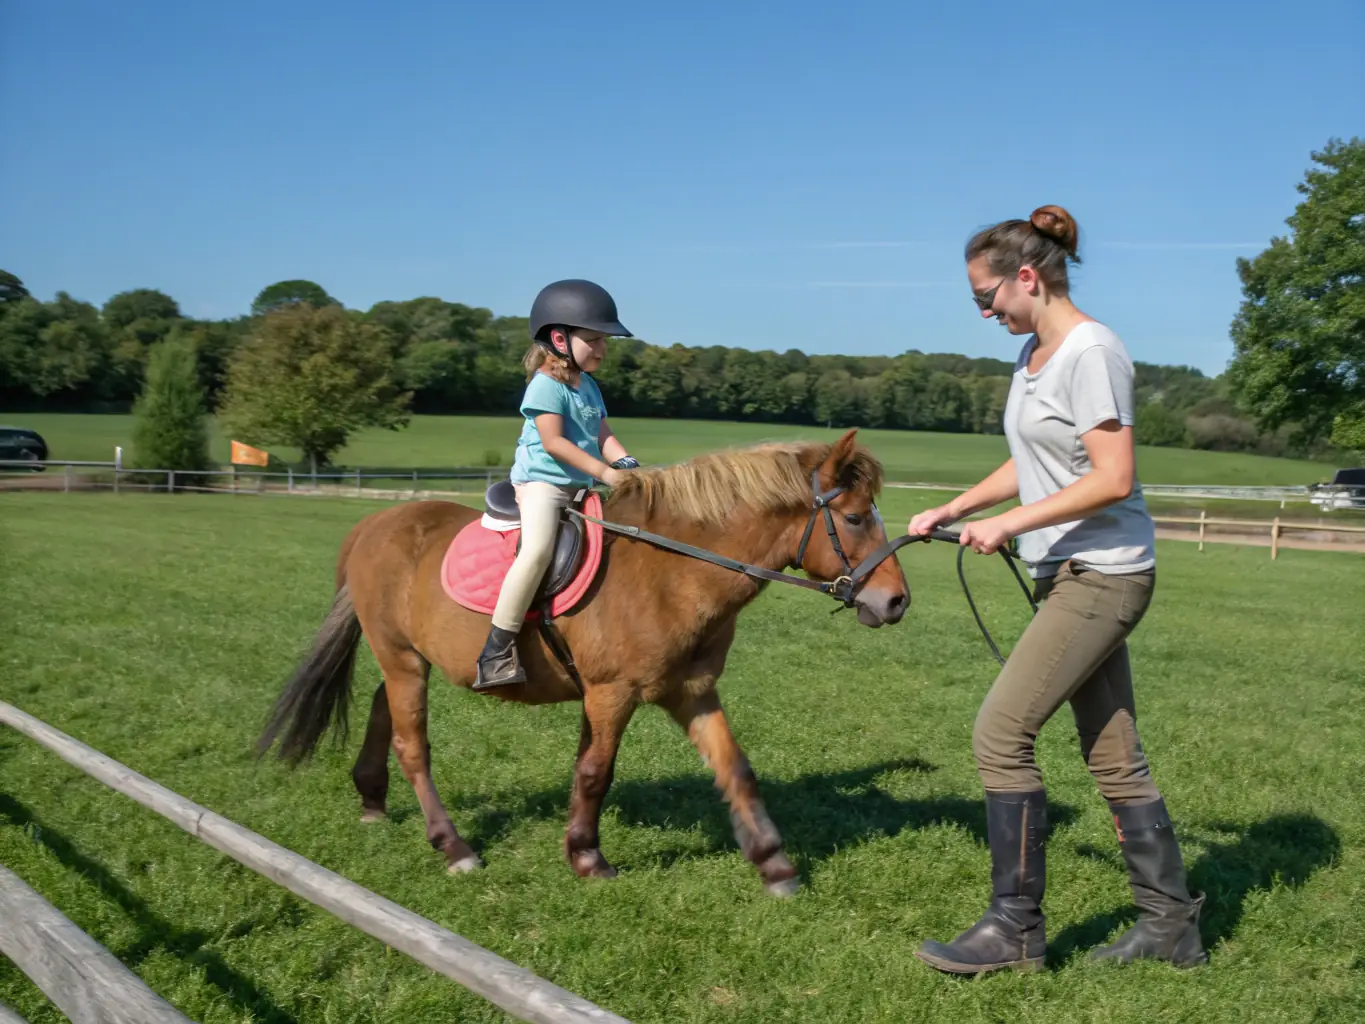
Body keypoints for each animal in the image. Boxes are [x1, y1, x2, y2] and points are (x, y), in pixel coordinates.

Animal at [256, 428, 910, 895]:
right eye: (855, 518)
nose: (897, 601)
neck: (671, 570)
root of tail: (372, 524)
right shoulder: (611, 692)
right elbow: (596, 773)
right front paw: (588, 858)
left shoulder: (692, 690)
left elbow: (735, 769)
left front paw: (775, 866)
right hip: (401, 659)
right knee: (413, 745)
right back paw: (454, 847)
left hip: (407, 657)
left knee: (381, 710)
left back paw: (371, 801)